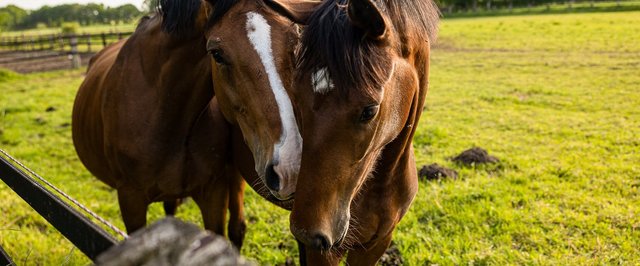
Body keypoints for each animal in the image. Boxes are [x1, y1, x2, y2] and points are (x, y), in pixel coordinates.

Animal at [264, 0, 440, 262]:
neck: (380, 187)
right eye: (296, 97)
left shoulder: (376, 244)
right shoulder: (324, 253)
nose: (307, 232)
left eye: (369, 110)